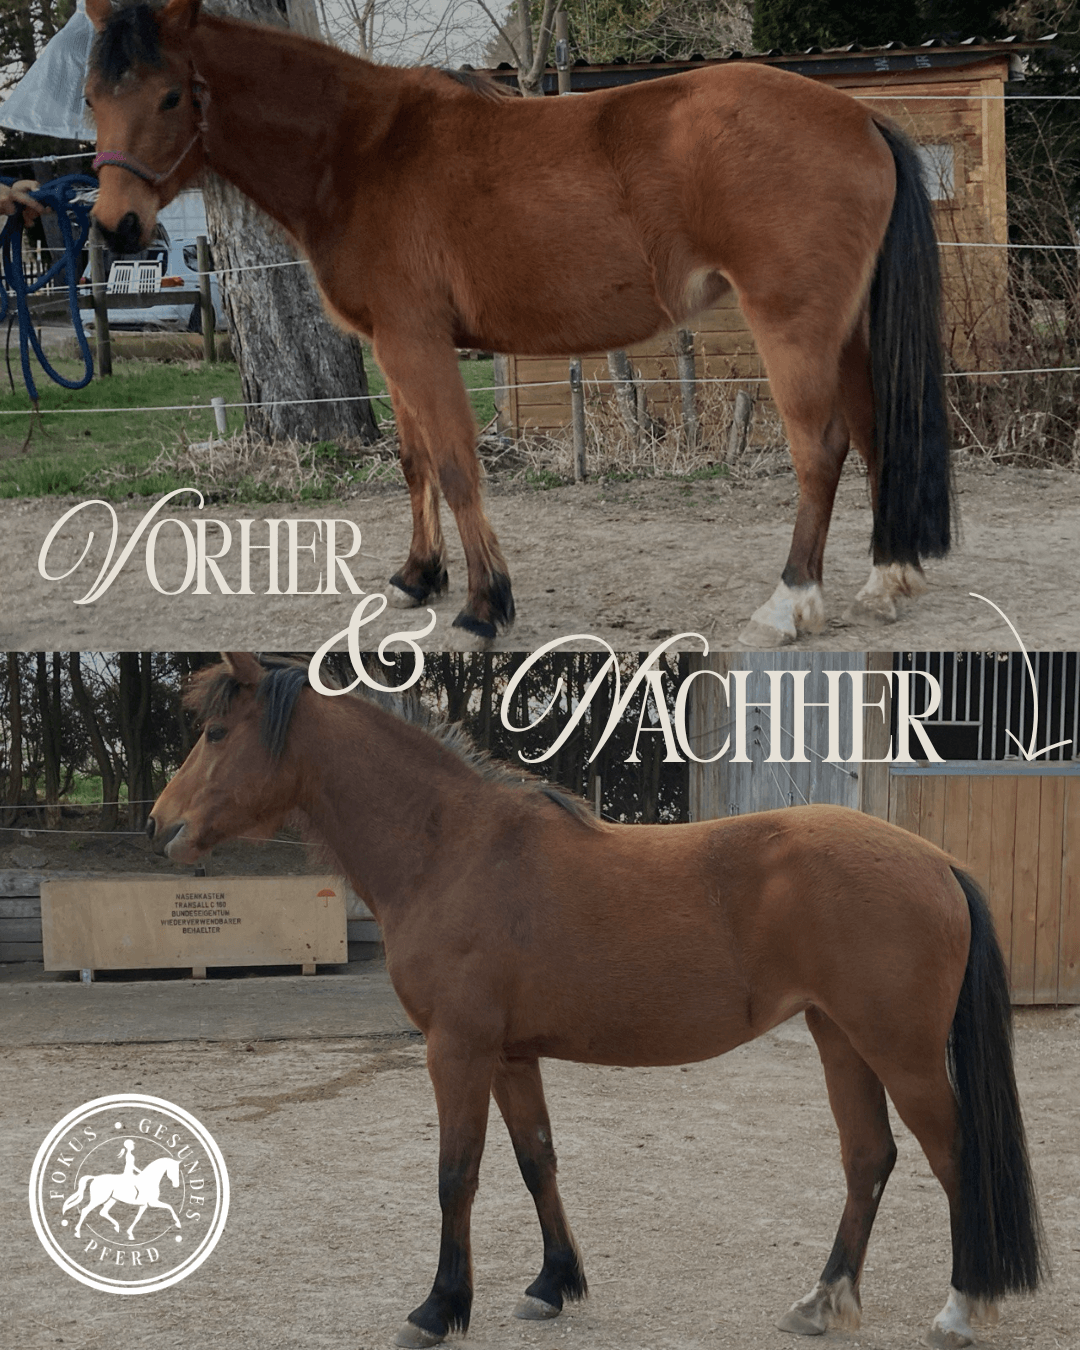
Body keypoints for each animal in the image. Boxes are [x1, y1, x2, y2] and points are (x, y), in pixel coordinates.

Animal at [84, 0, 952, 645]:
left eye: (170, 95)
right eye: (94, 98)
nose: (116, 228)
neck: (361, 150)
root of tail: (860, 119)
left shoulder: (415, 341)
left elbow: (456, 466)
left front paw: (483, 605)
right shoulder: (393, 347)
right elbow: (415, 462)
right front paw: (418, 578)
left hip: (794, 326)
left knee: (822, 447)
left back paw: (789, 603)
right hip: (848, 331)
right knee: (874, 430)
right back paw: (889, 580)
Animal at [147, 653, 1042, 1349]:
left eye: (216, 735)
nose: (160, 825)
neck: (451, 849)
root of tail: (936, 861)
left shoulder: (457, 1050)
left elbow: (456, 1175)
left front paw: (438, 1308)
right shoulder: (510, 1055)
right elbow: (535, 1159)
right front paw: (552, 1285)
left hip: (900, 1050)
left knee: (954, 1155)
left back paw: (961, 1310)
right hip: (840, 1037)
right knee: (869, 1159)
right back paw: (822, 1302)